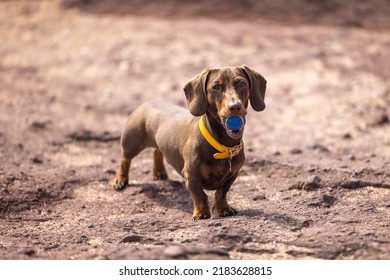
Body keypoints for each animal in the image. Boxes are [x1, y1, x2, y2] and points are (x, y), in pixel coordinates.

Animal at [111, 65, 266, 219]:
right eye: (215, 87)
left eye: (242, 84)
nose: (235, 106)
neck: (223, 146)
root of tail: (147, 102)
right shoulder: (191, 176)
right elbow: (199, 195)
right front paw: (201, 213)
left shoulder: (232, 175)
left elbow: (221, 193)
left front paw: (223, 209)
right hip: (131, 143)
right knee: (125, 160)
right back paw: (120, 180)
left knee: (157, 151)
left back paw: (159, 172)